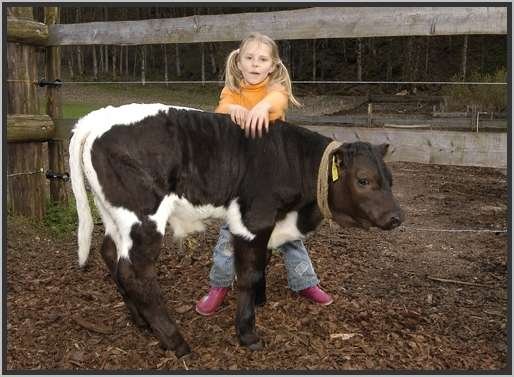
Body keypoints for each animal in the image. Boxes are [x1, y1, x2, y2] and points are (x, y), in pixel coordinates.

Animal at [69, 103, 404, 356]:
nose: (396, 217)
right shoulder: (254, 219)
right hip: (142, 216)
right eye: (363, 180)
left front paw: (260, 301)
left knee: (110, 254)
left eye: (390, 179)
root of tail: (97, 117)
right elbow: (247, 274)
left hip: (112, 214)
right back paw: (175, 341)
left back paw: (140, 321)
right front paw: (247, 332)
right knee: (135, 271)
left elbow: (261, 264)